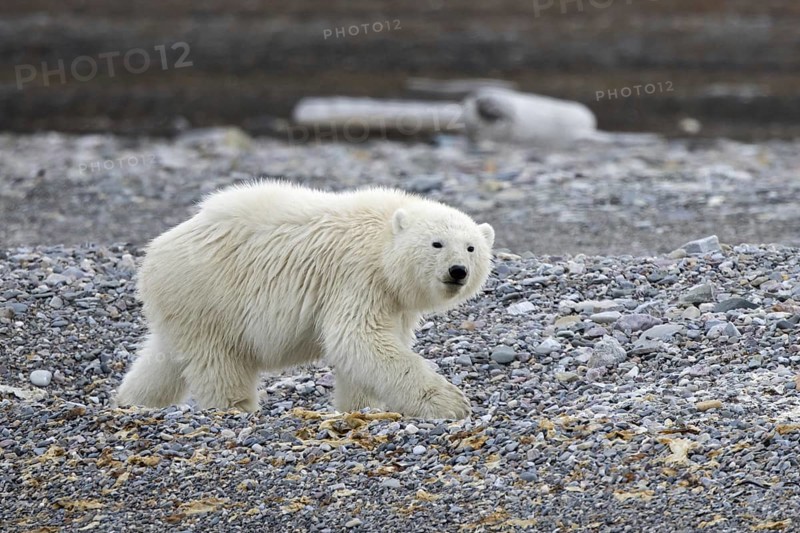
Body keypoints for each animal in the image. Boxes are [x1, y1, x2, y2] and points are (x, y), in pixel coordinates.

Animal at [116, 181, 495, 419]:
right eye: (437, 243)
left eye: (471, 248)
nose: (458, 271)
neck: (382, 240)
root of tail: (154, 253)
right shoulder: (357, 277)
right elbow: (359, 338)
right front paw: (450, 403)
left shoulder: (393, 299)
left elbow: (367, 352)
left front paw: (359, 407)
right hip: (208, 295)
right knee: (219, 363)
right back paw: (237, 407)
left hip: (183, 306)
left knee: (162, 359)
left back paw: (131, 401)